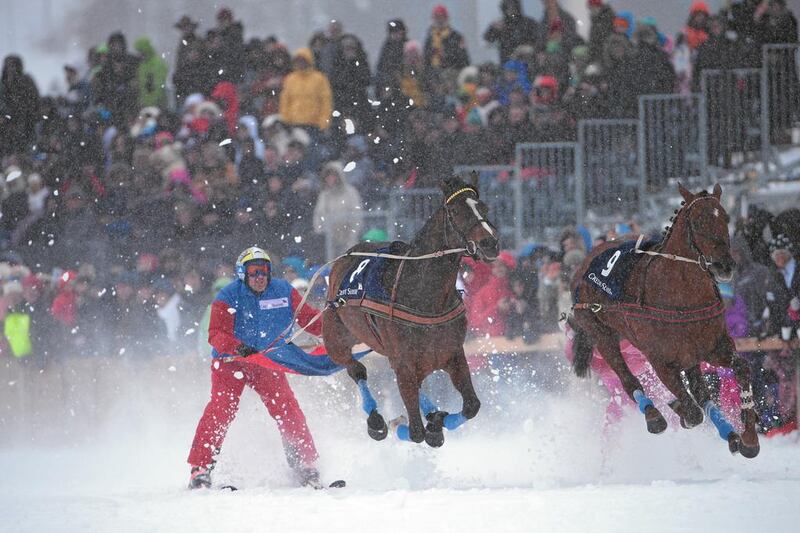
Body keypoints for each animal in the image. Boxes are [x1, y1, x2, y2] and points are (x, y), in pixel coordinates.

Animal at [320, 176, 496, 444]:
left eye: (483, 208)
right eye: (455, 211)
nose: (490, 243)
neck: (424, 295)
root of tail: (345, 255)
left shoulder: (453, 355)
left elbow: (471, 406)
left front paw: (437, 421)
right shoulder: (404, 364)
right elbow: (416, 432)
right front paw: (407, 425)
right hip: (335, 336)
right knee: (356, 369)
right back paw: (376, 420)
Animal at [564, 183, 760, 458]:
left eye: (726, 217)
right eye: (697, 222)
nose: (725, 265)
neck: (681, 294)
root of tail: (584, 263)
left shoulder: (713, 347)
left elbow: (741, 368)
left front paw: (749, 436)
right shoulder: (660, 359)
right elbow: (692, 412)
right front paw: (680, 409)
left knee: (701, 393)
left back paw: (730, 434)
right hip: (601, 334)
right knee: (628, 379)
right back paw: (654, 416)